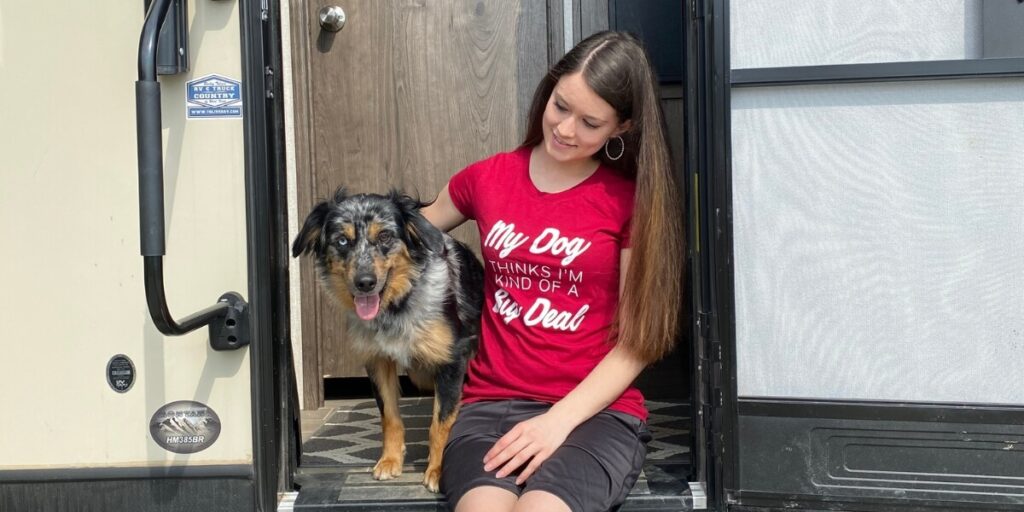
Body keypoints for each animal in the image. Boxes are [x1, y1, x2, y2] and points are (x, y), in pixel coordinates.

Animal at [288, 188, 479, 491]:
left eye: (386, 236)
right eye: (342, 240)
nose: (365, 282)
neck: (396, 306)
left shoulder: (452, 360)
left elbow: (441, 423)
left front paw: (437, 471)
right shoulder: (377, 360)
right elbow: (389, 416)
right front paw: (390, 461)